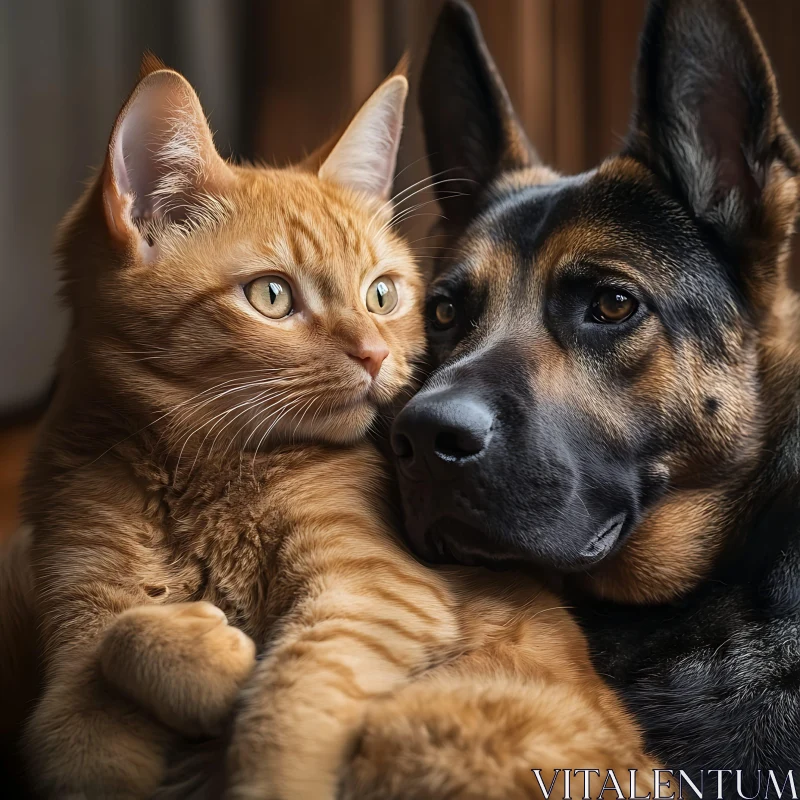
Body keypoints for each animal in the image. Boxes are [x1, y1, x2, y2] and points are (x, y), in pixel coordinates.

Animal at [17, 59, 656, 796]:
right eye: (270, 296)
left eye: (382, 294)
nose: (375, 355)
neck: (192, 477)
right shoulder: (71, 664)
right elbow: (101, 673)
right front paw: (209, 659)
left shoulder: (372, 592)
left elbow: (286, 707)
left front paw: (231, 687)